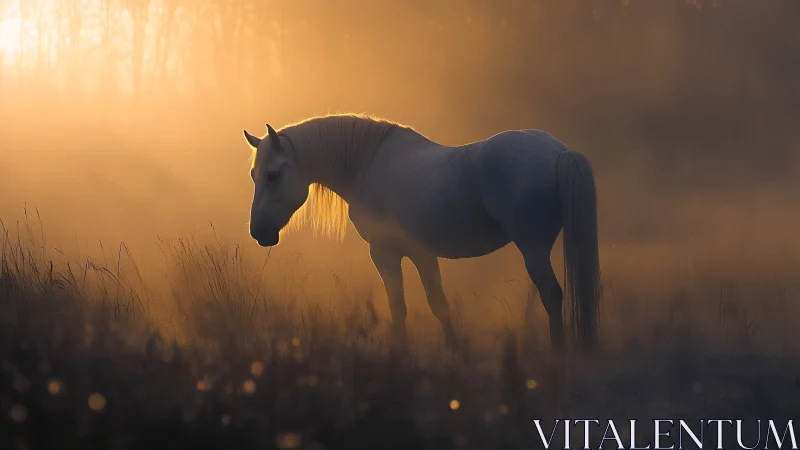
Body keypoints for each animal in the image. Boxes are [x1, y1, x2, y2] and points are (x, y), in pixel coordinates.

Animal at [243, 114, 600, 352]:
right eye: (253, 175)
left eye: (273, 175)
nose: (258, 231)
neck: (366, 165)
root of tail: (559, 153)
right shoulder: (422, 253)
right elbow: (438, 303)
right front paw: (456, 352)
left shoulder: (385, 253)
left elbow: (398, 306)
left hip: (533, 248)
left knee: (552, 295)